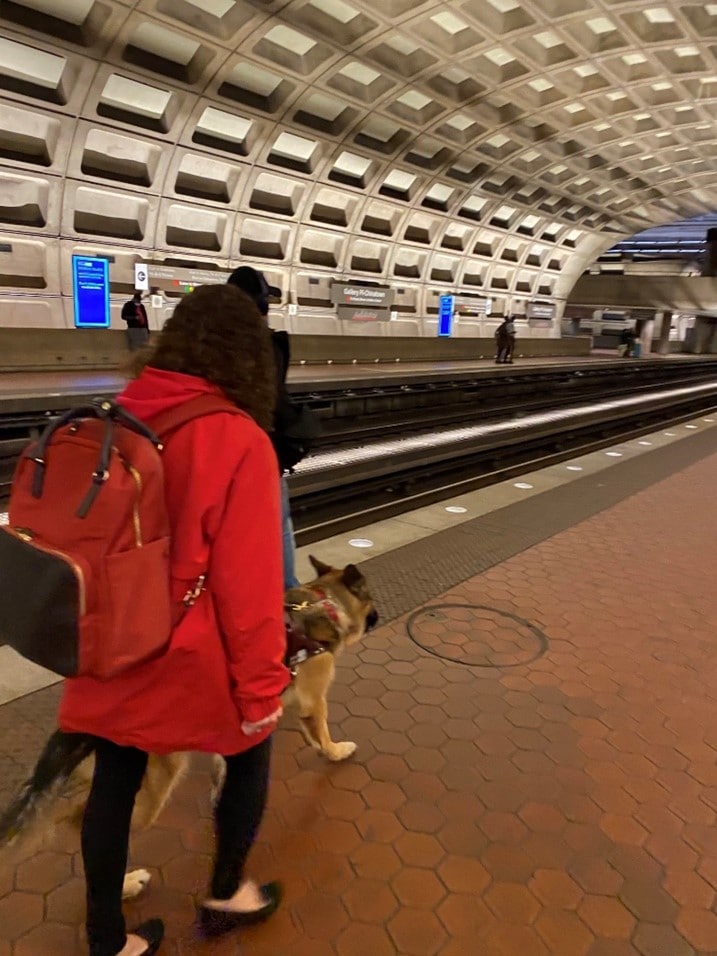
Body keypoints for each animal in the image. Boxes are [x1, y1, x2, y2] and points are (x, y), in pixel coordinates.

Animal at [0, 556, 378, 900]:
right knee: (84, 828)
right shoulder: (314, 700)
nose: (375, 616)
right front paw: (336, 751)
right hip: (152, 789)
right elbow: (322, 733)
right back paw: (125, 884)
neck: (322, 603)